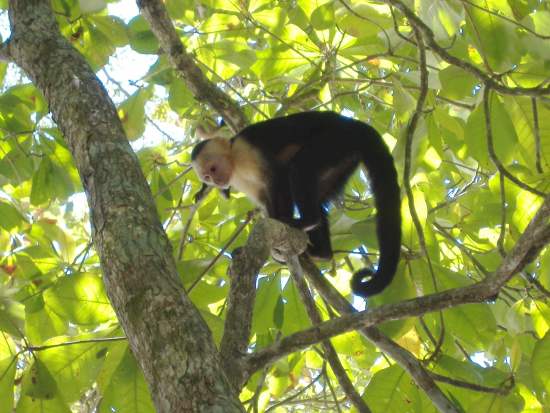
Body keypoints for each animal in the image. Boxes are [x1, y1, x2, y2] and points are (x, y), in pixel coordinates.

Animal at [192, 110, 404, 296]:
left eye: (213, 168)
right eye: (207, 176)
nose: (216, 181)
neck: (234, 160)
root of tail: (354, 124)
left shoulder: (246, 151)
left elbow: (278, 177)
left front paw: (279, 221)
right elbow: (265, 199)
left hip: (336, 140)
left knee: (300, 168)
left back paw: (307, 221)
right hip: (343, 161)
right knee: (317, 194)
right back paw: (322, 252)